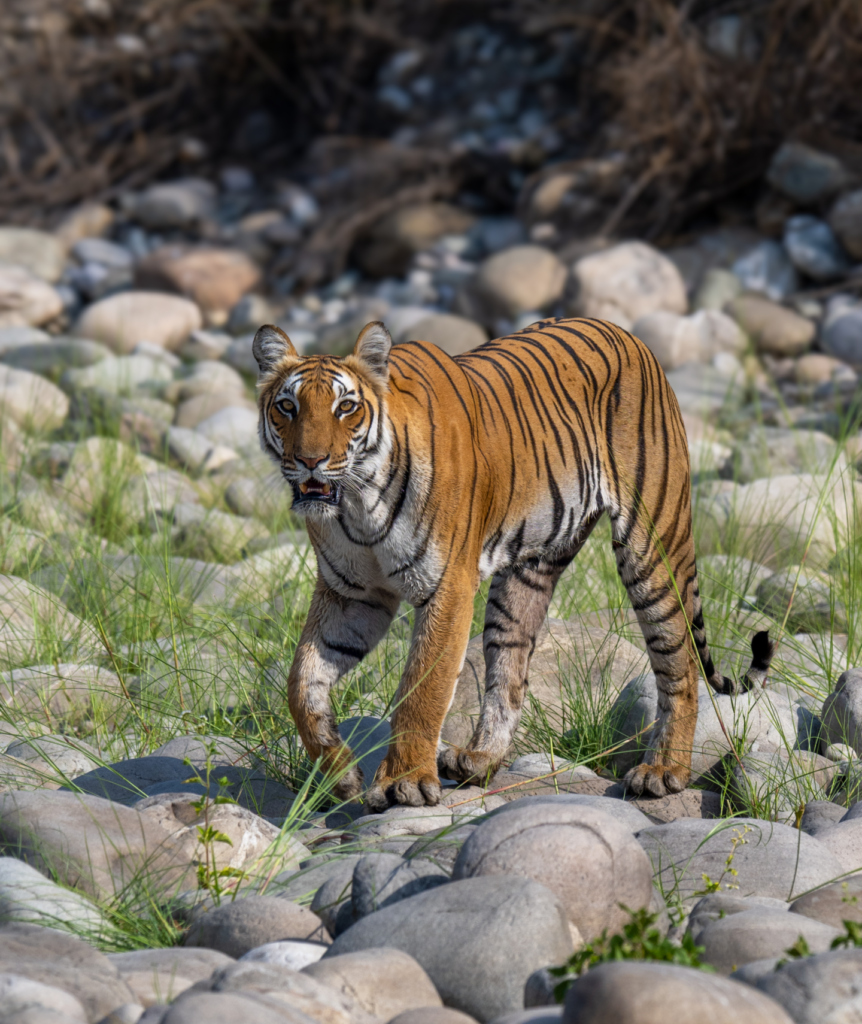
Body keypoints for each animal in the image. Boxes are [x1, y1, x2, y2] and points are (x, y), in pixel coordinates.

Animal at [253, 316, 773, 811]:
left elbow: (422, 687)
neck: (357, 504)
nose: (311, 460)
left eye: (346, 407)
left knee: (679, 664)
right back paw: (479, 759)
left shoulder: (447, 587)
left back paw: (664, 771)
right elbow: (301, 684)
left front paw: (404, 783)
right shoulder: (352, 595)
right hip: (527, 571)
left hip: (653, 548)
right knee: (511, 666)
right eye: (288, 407)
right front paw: (340, 774)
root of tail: (629, 335)